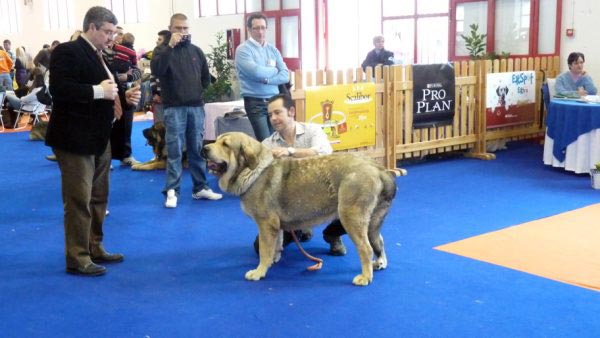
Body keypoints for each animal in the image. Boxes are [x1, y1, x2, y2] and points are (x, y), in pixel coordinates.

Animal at [203, 132, 398, 286]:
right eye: (216, 140)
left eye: (225, 144)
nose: (204, 148)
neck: (252, 171)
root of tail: (378, 169)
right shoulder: (275, 226)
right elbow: (276, 245)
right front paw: (273, 261)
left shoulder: (266, 224)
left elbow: (264, 250)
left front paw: (259, 272)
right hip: (372, 220)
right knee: (378, 241)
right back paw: (379, 263)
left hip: (350, 216)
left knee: (366, 248)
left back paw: (365, 277)